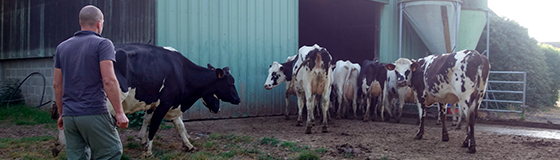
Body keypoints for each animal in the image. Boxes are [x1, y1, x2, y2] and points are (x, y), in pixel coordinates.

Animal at [112, 43, 241, 156]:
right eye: (231, 82)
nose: (238, 99)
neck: (181, 72)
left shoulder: (172, 103)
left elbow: (179, 125)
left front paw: (188, 145)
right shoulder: (165, 103)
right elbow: (154, 125)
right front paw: (148, 150)